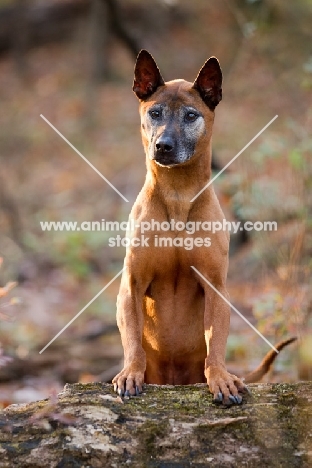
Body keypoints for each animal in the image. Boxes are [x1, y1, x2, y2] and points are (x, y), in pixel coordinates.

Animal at [112, 49, 294, 404]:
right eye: (155, 112)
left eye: (191, 115)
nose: (163, 145)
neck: (178, 194)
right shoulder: (131, 284)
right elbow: (133, 342)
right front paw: (130, 373)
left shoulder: (215, 286)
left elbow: (216, 346)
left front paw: (221, 377)